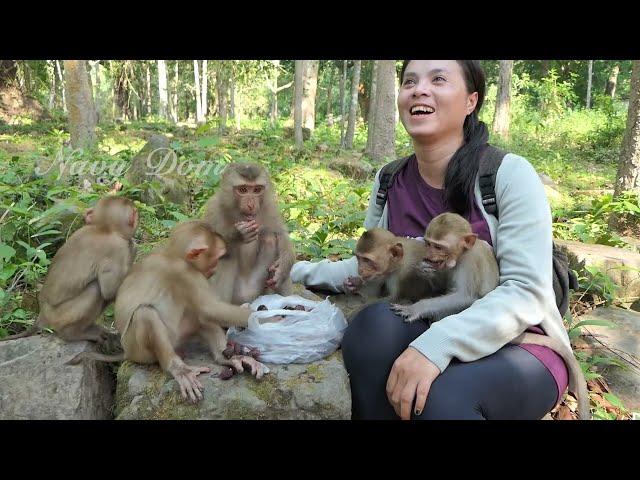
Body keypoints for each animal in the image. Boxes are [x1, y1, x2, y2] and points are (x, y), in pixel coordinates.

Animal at [2, 196, 138, 344]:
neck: (104, 228)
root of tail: (42, 314)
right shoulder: (118, 249)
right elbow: (109, 291)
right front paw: (134, 248)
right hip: (61, 316)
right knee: (96, 289)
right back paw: (72, 334)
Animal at [69, 222, 268, 404]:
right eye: (217, 257)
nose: (216, 267)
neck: (172, 253)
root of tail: (127, 353)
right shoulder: (185, 273)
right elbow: (210, 308)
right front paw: (267, 317)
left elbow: (206, 312)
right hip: (140, 350)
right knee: (146, 313)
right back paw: (177, 368)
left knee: (195, 314)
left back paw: (225, 357)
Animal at [204, 161, 296, 304]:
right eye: (243, 190)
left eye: (257, 190)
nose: (251, 205)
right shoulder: (213, 209)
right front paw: (239, 236)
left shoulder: (270, 206)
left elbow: (281, 235)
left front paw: (283, 267)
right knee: (226, 256)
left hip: (261, 290)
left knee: (270, 236)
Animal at [390, 214, 592, 420]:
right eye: (428, 243)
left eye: (438, 247)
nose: (429, 256)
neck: (462, 254)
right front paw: (424, 270)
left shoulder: (469, 263)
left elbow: (466, 297)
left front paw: (416, 308)